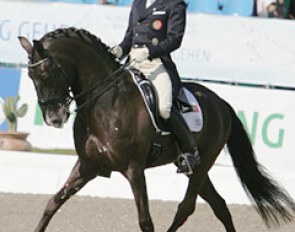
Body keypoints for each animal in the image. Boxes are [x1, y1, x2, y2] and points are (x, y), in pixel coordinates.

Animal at [19, 27, 295, 232]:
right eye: (31, 78)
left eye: (47, 73)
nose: (54, 118)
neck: (105, 103)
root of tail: (220, 102)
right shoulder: (88, 164)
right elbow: (53, 202)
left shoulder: (134, 168)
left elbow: (145, 221)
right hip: (198, 169)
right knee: (219, 205)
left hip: (202, 163)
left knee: (186, 208)